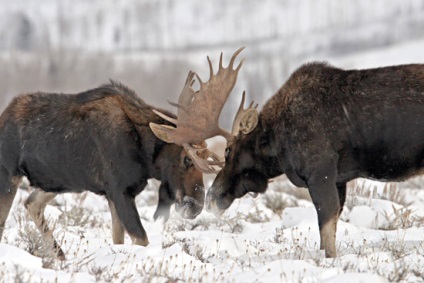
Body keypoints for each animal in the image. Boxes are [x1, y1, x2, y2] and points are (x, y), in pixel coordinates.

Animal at [151, 47, 424, 258]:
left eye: (228, 151)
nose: (211, 198)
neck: (278, 143)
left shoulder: (321, 173)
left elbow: (327, 232)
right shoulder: (340, 180)